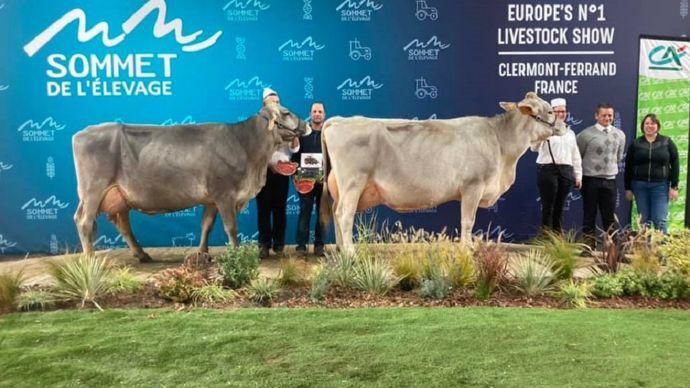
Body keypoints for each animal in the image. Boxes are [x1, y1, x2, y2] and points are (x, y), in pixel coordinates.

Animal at [72, 103, 306, 260]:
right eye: (286, 112)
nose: (305, 125)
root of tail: (82, 133)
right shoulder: (224, 194)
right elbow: (231, 227)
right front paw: (236, 253)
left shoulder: (211, 199)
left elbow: (206, 225)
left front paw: (202, 253)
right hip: (93, 191)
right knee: (84, 222)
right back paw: (90, 259)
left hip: (117, 196)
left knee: (123, 224)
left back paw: (142, 255)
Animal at [320, 91, 560, 252]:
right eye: (549, 111)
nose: (564, 124)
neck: (501, 145)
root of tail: (339, 120)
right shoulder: (473, 186)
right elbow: (468, 220)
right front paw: (467, 249)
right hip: (353, 183)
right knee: (344, 215)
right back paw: (350, 253)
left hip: (342, 187)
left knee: (336, 211)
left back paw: (341, 250)